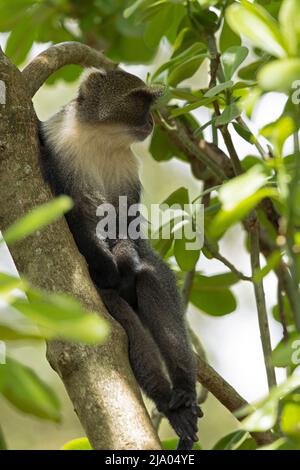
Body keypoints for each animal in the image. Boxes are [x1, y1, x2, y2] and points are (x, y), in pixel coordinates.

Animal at [37, 66, 202, 448]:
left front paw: (126, 257)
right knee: (122, 323)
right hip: (106, 299)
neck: (100, 138)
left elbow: (126, 221)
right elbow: (74, 215)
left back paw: (183, 395)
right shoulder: (56, 149)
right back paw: (166, 400)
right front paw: (107, 268)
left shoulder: (126, 170)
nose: (152, 121)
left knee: (152, 279)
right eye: (139, 101)